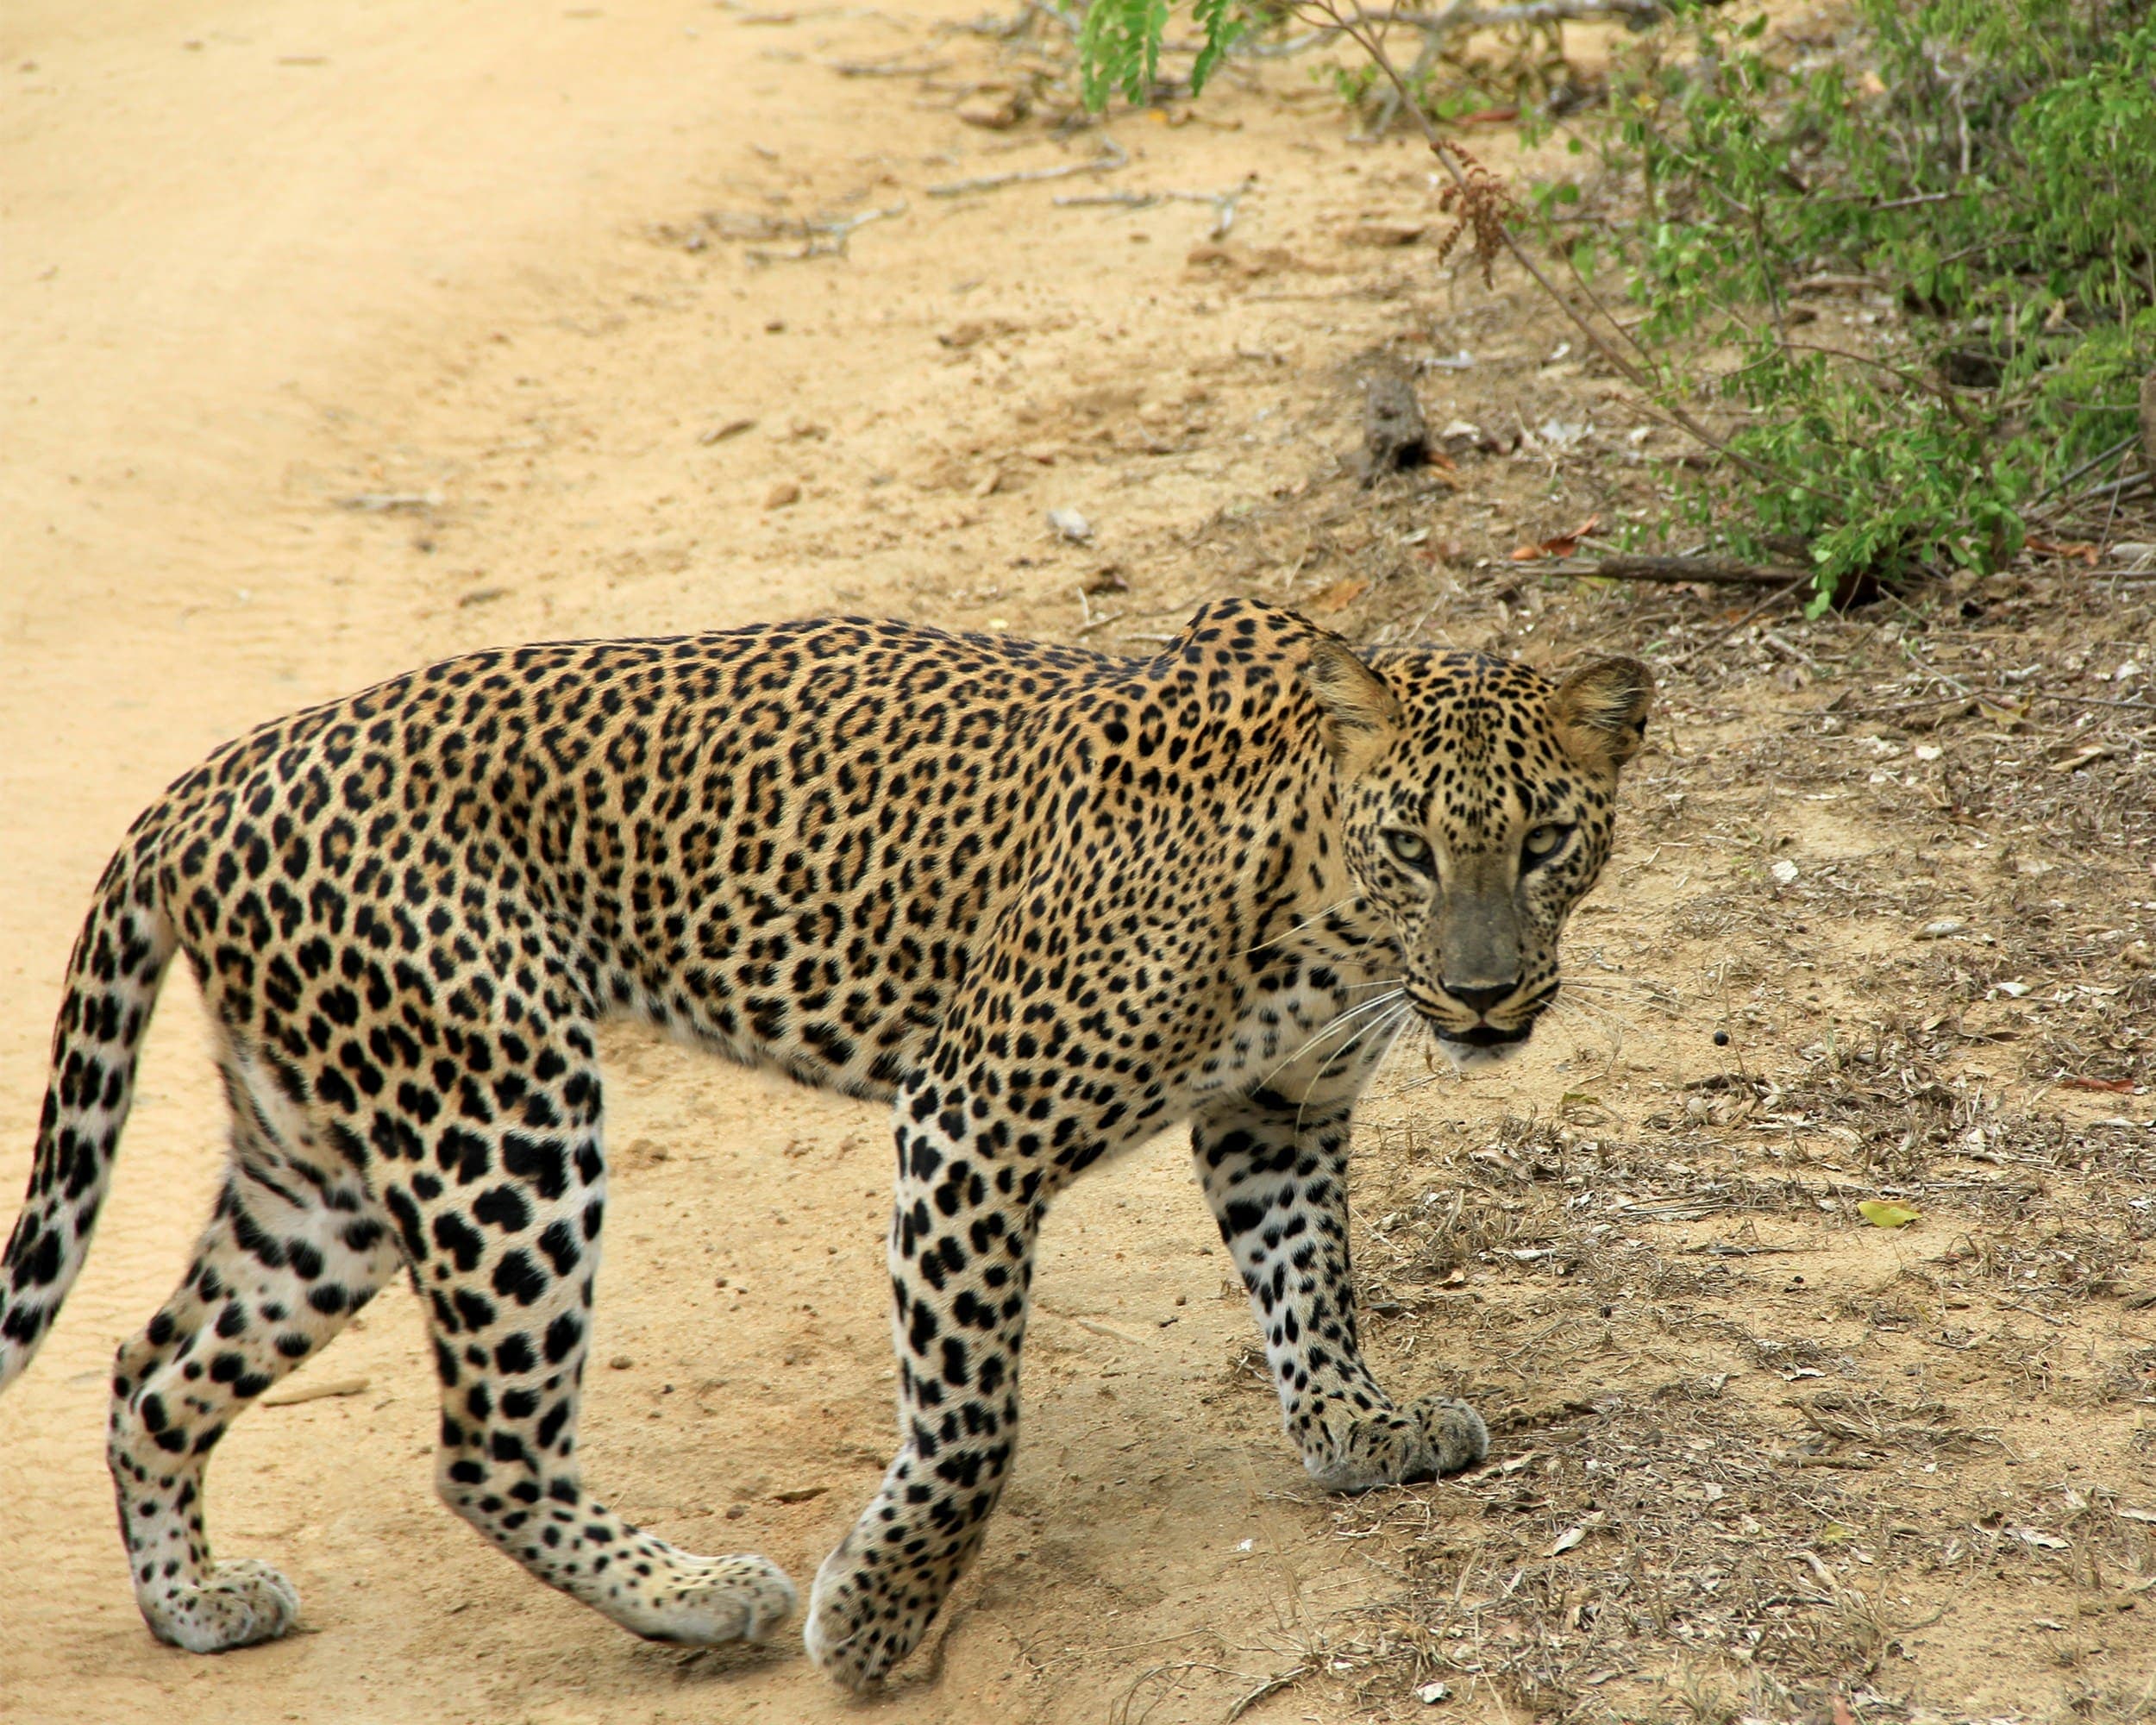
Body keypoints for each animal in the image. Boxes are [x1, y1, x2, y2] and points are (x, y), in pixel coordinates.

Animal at [0, 596, 1650, 1690]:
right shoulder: (972, 1125)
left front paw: (1360, 1427)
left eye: (1545, 846)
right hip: (501, 1119)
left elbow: (1314, 1286)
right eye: (1416, 846)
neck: (1323, 912)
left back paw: (196, 1606)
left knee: (152, 1367)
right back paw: (696, 1594)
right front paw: (872, 1620)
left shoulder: (1279, 1112)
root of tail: (203, 785)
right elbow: (974, 1423)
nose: (1488, 994)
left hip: (328, 1169)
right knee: (483, 1447)